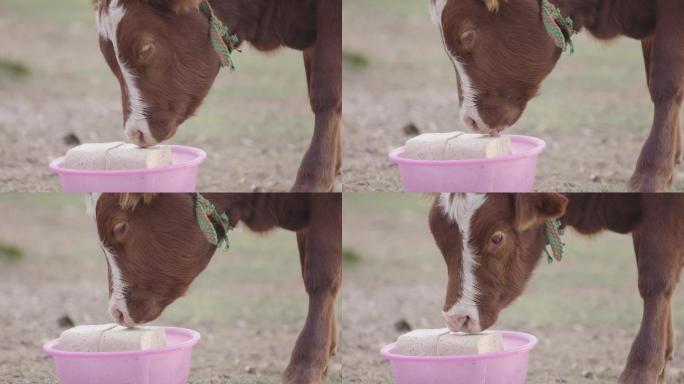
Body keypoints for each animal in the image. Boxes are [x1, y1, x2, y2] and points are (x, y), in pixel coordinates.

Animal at [92, 0, 342, 192]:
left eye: (146, 49)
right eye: (107, 56)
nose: (136, 131)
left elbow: (326, 91)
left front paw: (314, 180)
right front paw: (335, 169)